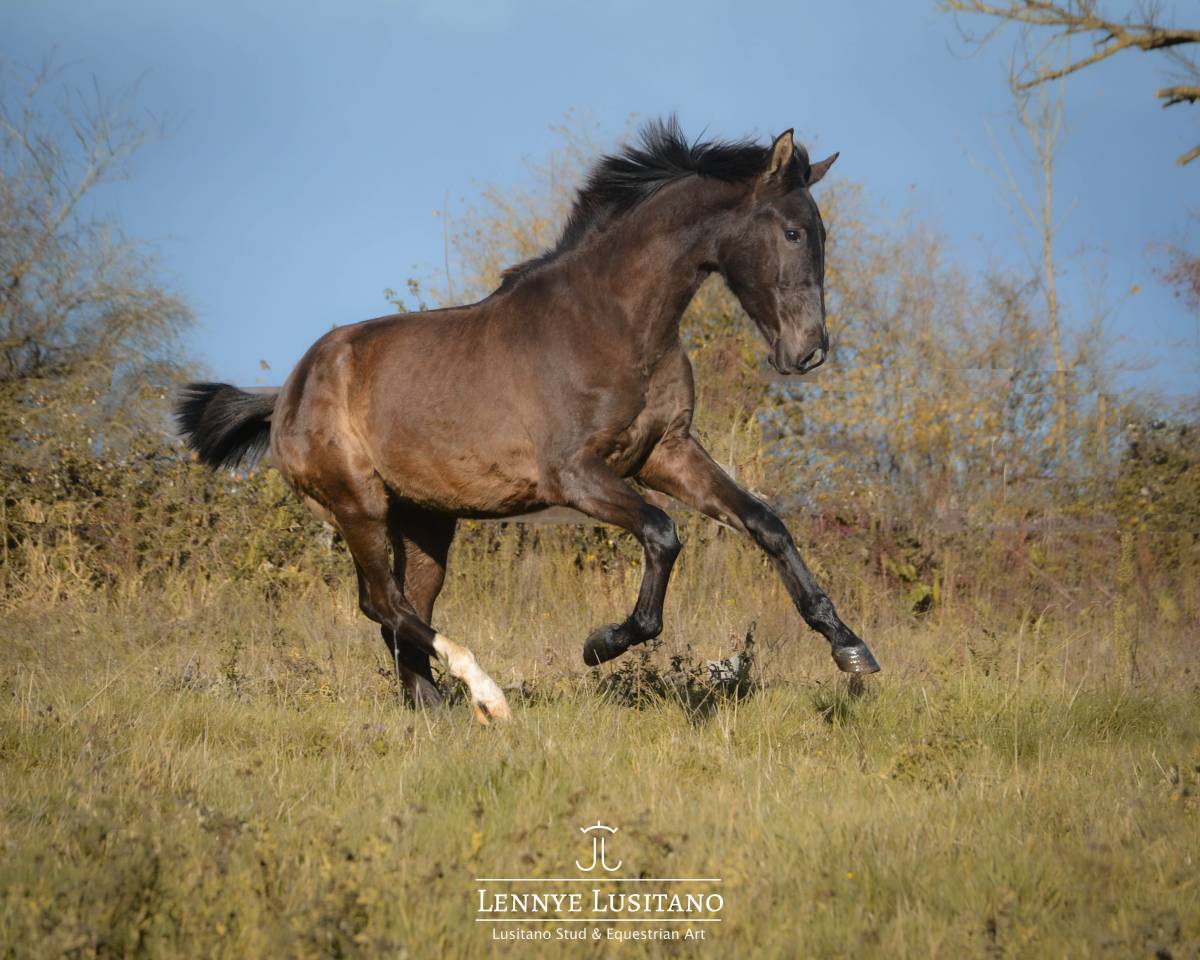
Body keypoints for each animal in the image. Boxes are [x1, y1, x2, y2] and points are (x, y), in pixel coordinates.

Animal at [176, 118, 880, 724]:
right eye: (793, 233)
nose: (808, 351)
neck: (615, 321)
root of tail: (288, 391)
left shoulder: (667, 452)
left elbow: (765, 523)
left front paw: (849, 647)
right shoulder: (574, 475)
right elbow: (662, 534)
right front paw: (603, 643)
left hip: (426, 523)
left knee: (400, 610)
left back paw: (435, 710)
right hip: (358, 507)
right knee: (382, 603)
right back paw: (485, 694)